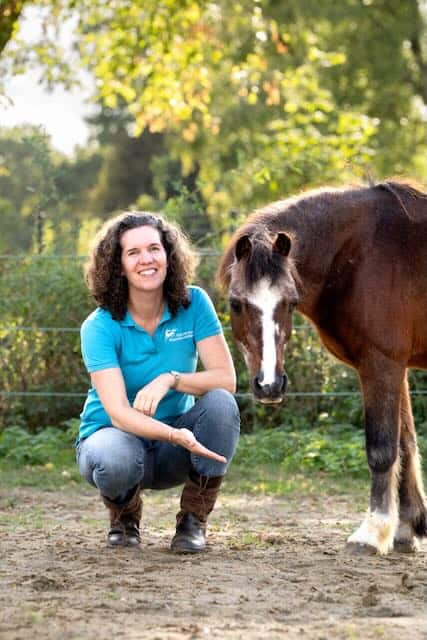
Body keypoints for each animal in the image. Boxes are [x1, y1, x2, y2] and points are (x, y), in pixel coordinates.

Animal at [217, 180, 427, 555]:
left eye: (291, 303)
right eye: (236, 304)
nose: (269, 385)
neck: (362, 253)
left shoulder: (381, 363)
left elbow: (383, 448)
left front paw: (372, 533)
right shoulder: (396, 366)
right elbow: (406, 443)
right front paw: (406, 529)